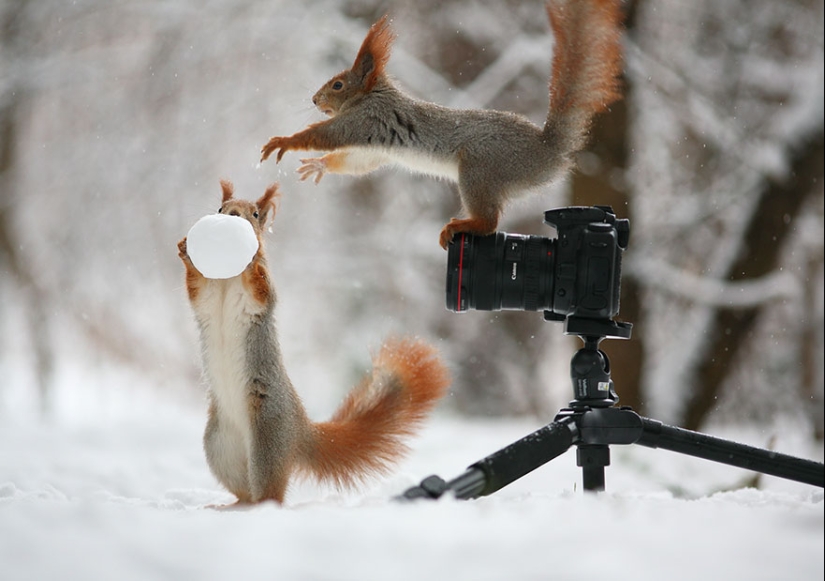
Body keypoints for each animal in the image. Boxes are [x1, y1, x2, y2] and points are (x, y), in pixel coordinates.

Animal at [177, 180, 450, 505]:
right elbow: (197, 292)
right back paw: (231, 508)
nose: (231, 215)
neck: (228, 279)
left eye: (254, 214)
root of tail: (300, 430)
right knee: (245, 491)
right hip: (220, 447)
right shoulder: (206, 299)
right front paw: (185, 250)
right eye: (220, 208)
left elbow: (261, 290)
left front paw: (253, 262)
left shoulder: (261, 300)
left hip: (268, 442)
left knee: (270, 494)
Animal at [260, 0, 624, 249]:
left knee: (490, 222)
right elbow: (356, 161)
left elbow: (327, 135)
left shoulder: (366, 119)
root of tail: (550, 151)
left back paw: (462, 226)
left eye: (337, 85)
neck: (371, 96)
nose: (314, 100)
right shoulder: (373, 148)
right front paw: (319, 165)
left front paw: (284, 141)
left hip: (481, 169)